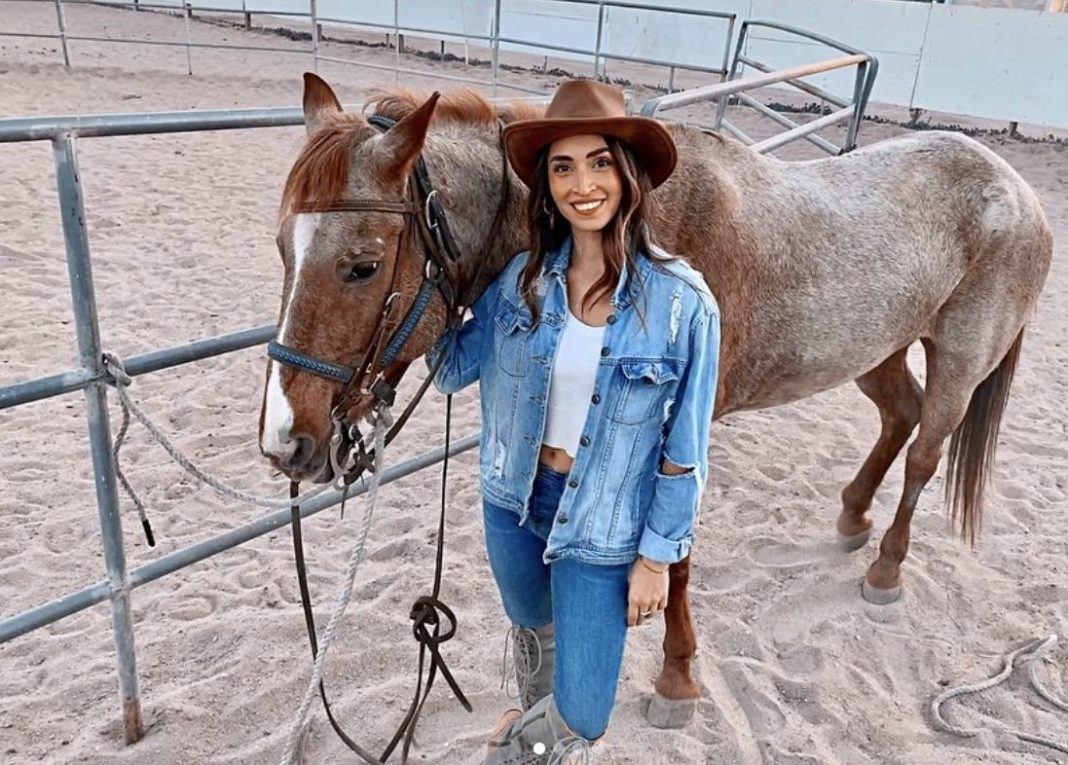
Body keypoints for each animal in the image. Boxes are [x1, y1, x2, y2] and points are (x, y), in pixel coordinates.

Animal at [258, 73, 1052, 728]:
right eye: (282, 249)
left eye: (362, 265)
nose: (286, 442)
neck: (630, 239)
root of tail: (1018, 189)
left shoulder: (679, 437)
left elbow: (672, 560)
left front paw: (678, 679)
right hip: (877, 348)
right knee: (900, 416)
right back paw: (853, 515)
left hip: (960, 361)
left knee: (925, 451)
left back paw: (884, 568)